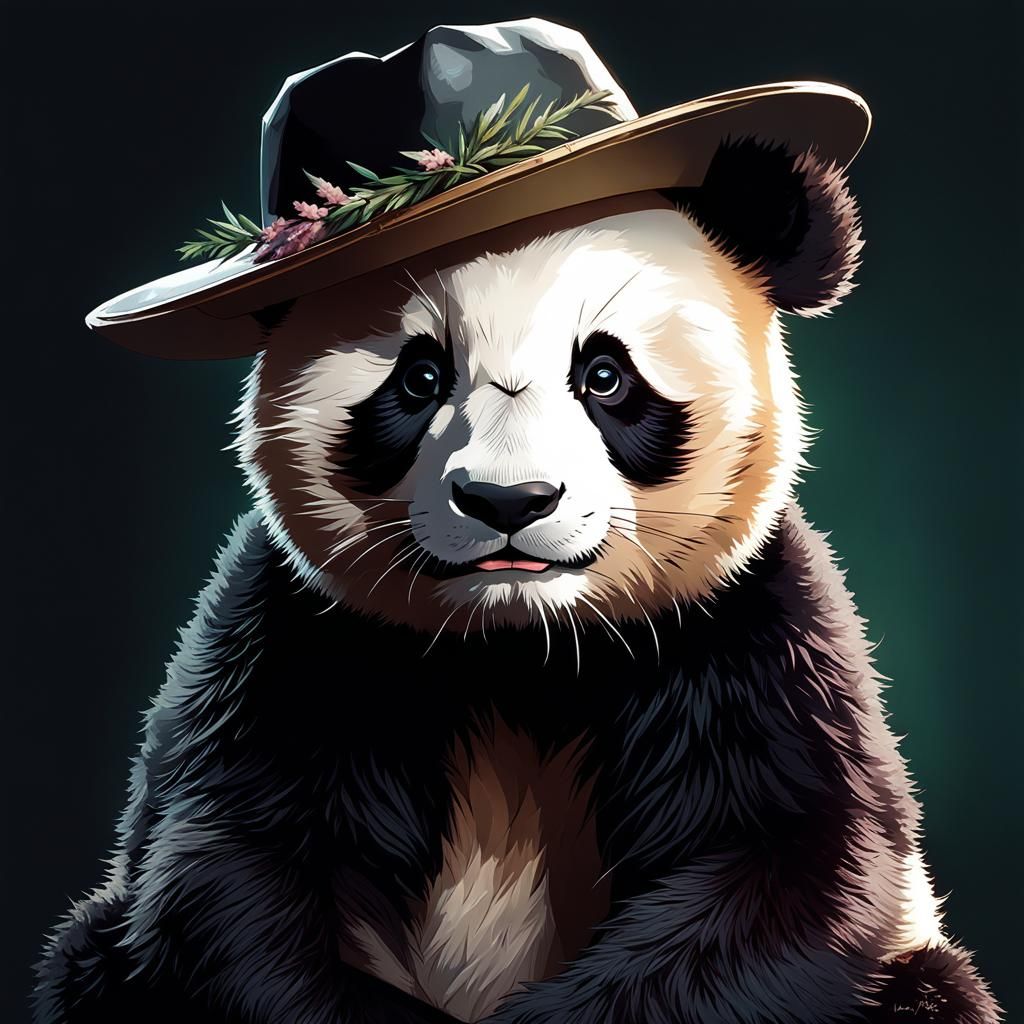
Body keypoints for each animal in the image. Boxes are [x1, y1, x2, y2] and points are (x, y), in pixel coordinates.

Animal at [33, 137, 1001, 1023]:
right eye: (419, 376)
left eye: (604, 375)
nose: (507, 500)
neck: (518, 650)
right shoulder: (294, 642)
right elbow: (235, 883)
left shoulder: (747, 638)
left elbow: (791, 872)